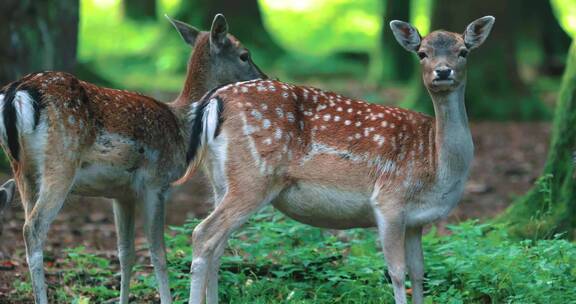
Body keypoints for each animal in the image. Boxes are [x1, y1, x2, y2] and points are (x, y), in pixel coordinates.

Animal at [0, 13, 266, 304]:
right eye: (244, 55)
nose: (264, 77)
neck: (181, 125)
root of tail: (16, 92)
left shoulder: (121, 194)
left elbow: (125, 253)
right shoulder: (156, 183)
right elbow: (158, 253)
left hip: (23, 170)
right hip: (60, 163)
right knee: (33, 228)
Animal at [180, 16, 496, 304]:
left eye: (463, 51)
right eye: (422, 53)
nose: (443, 72)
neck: (436, 163)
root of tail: (215, 99)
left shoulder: (417, 220)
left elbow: (419, 273)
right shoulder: (389, 200)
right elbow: (397, 272)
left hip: (220, 182)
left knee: (217, 247)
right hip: (252, 178)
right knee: (203, 234)